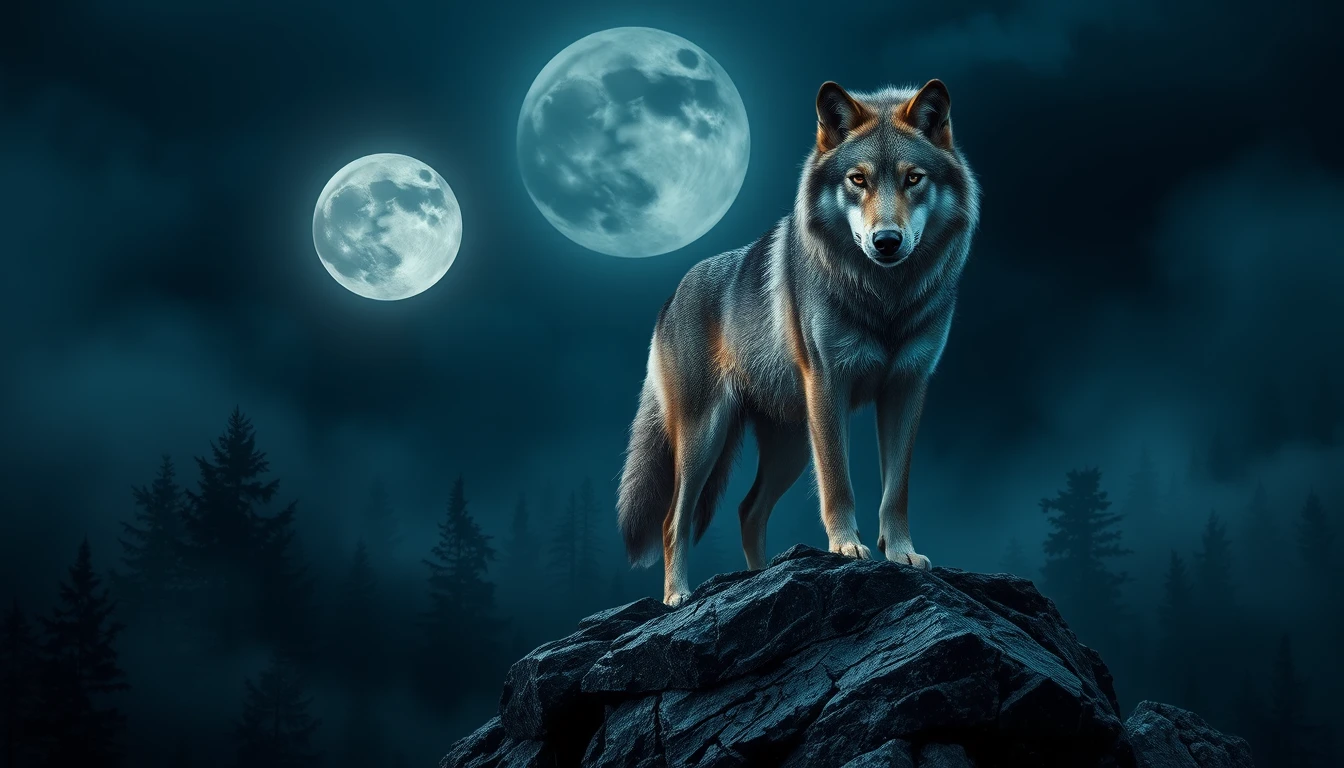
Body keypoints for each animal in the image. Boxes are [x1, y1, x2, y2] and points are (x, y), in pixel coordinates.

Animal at [617, 80, 980, 606]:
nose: (886, 241)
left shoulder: (908, 386)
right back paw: (678, 596)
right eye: (857, 180)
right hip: (706, 436)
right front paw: (846, 548)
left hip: (788, 445)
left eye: (913, 179)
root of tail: (670, 297)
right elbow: (838, 483)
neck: (885, 301)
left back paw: (759, 579)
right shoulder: (829, 384)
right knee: (673, 520)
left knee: (748, 510)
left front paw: (902, 554)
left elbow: (897, 491)